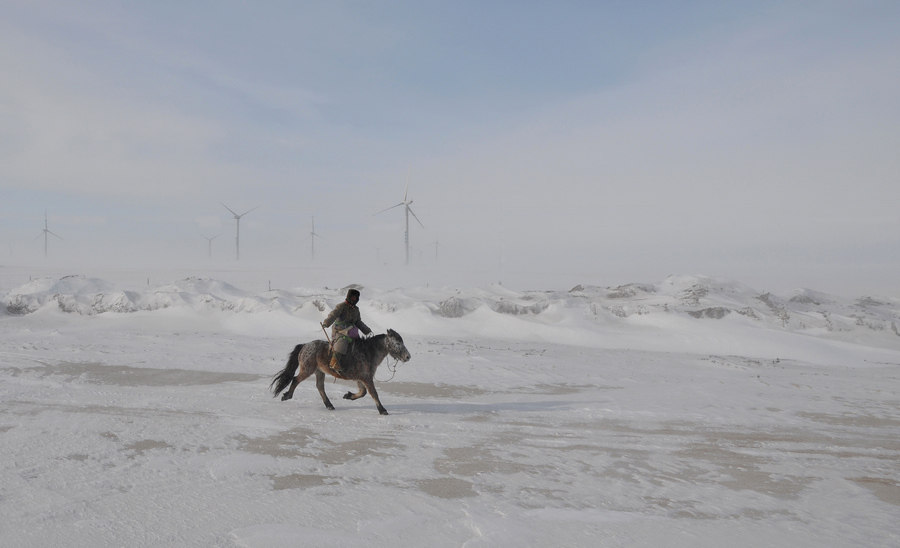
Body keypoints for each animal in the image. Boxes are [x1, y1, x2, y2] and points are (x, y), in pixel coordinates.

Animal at [266, 330, 410, 416]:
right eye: (397, 343)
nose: (408, 357)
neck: (368, 352)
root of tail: (305, 346)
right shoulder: (366, 377)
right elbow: (373, 393)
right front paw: (382, 410)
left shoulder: (361, 378)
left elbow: (362, 392)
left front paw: (348, 395)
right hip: (307, 369)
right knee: (296, 379)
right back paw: (287, 396)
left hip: (319, 371)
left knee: (320, 386)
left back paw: (329, 405)